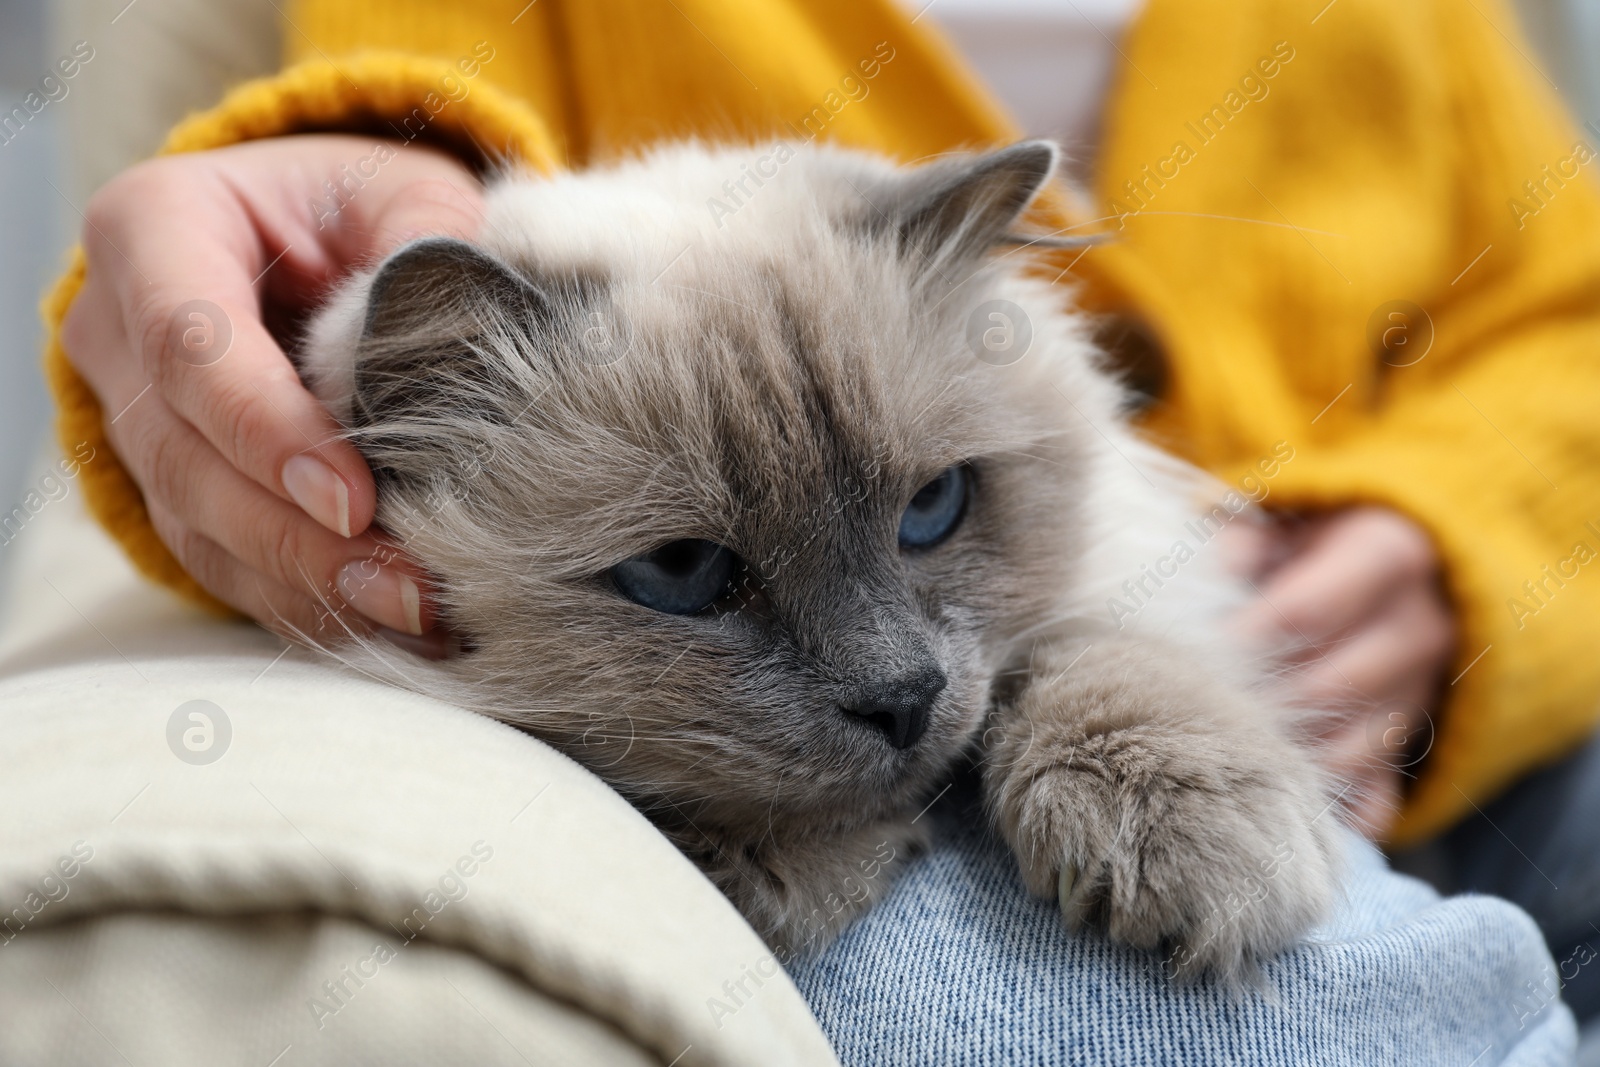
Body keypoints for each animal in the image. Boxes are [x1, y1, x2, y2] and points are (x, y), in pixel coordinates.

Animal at [297, 137, 1337, 979]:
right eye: (683, 571)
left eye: (932, 508)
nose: (904, 699)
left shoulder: (1118, 570)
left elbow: (1107, 660)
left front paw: (1185, 849)